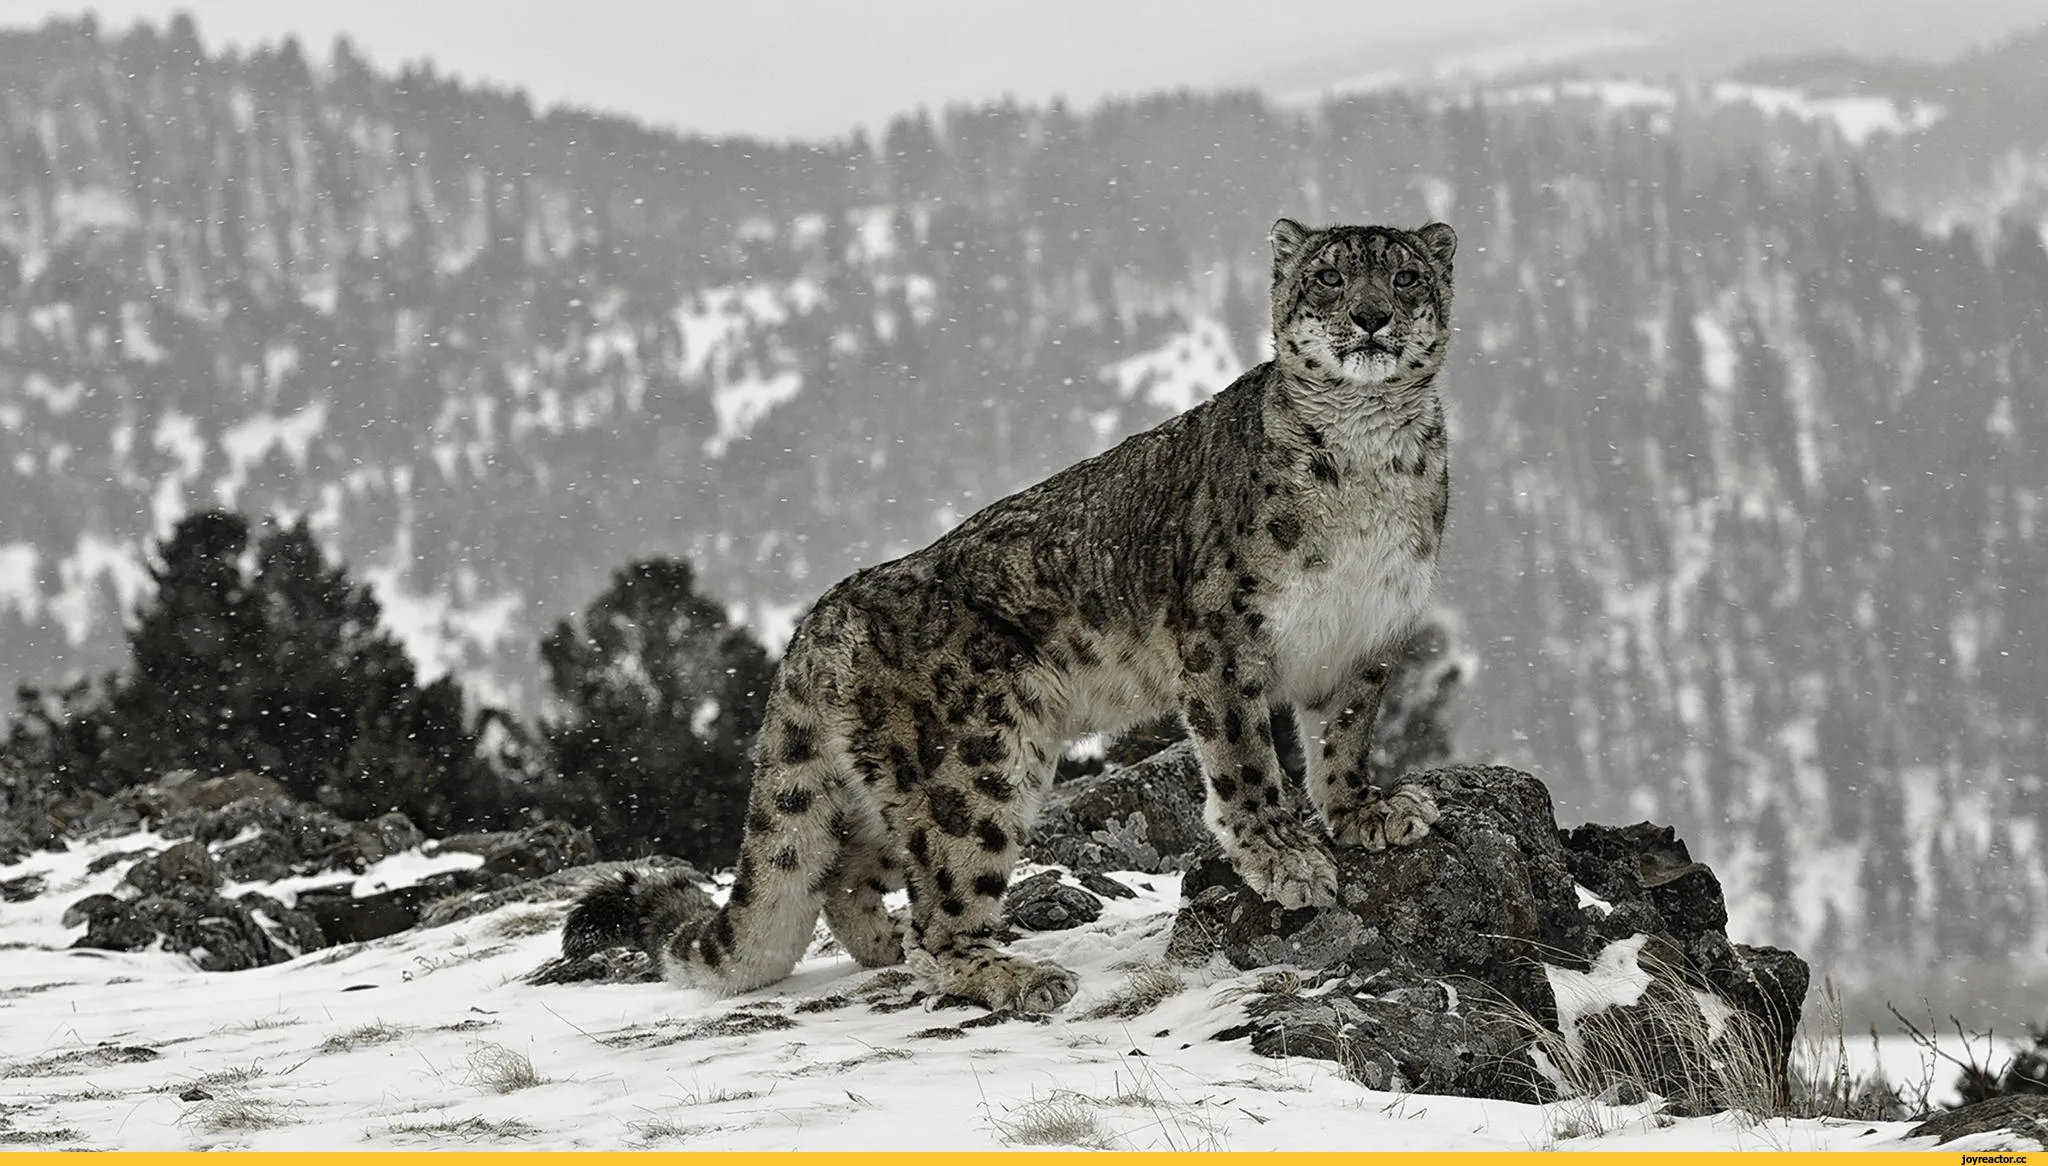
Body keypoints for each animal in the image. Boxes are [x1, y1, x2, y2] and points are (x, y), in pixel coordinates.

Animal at [561, 216, 1458, 1008]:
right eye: (1330, 277)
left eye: (1406, 276)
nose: (1371, 316)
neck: (1369, 459)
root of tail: (823, 614)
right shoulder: (1222, 636)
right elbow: (1244, 756)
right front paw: (1283, 855)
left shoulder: (1368, 633)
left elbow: (1343, 735)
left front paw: (1367, 812)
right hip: (975, 760)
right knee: (941, 903)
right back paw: (1009, 974)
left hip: (898, 785)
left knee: (844, 870)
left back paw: (888, 942)